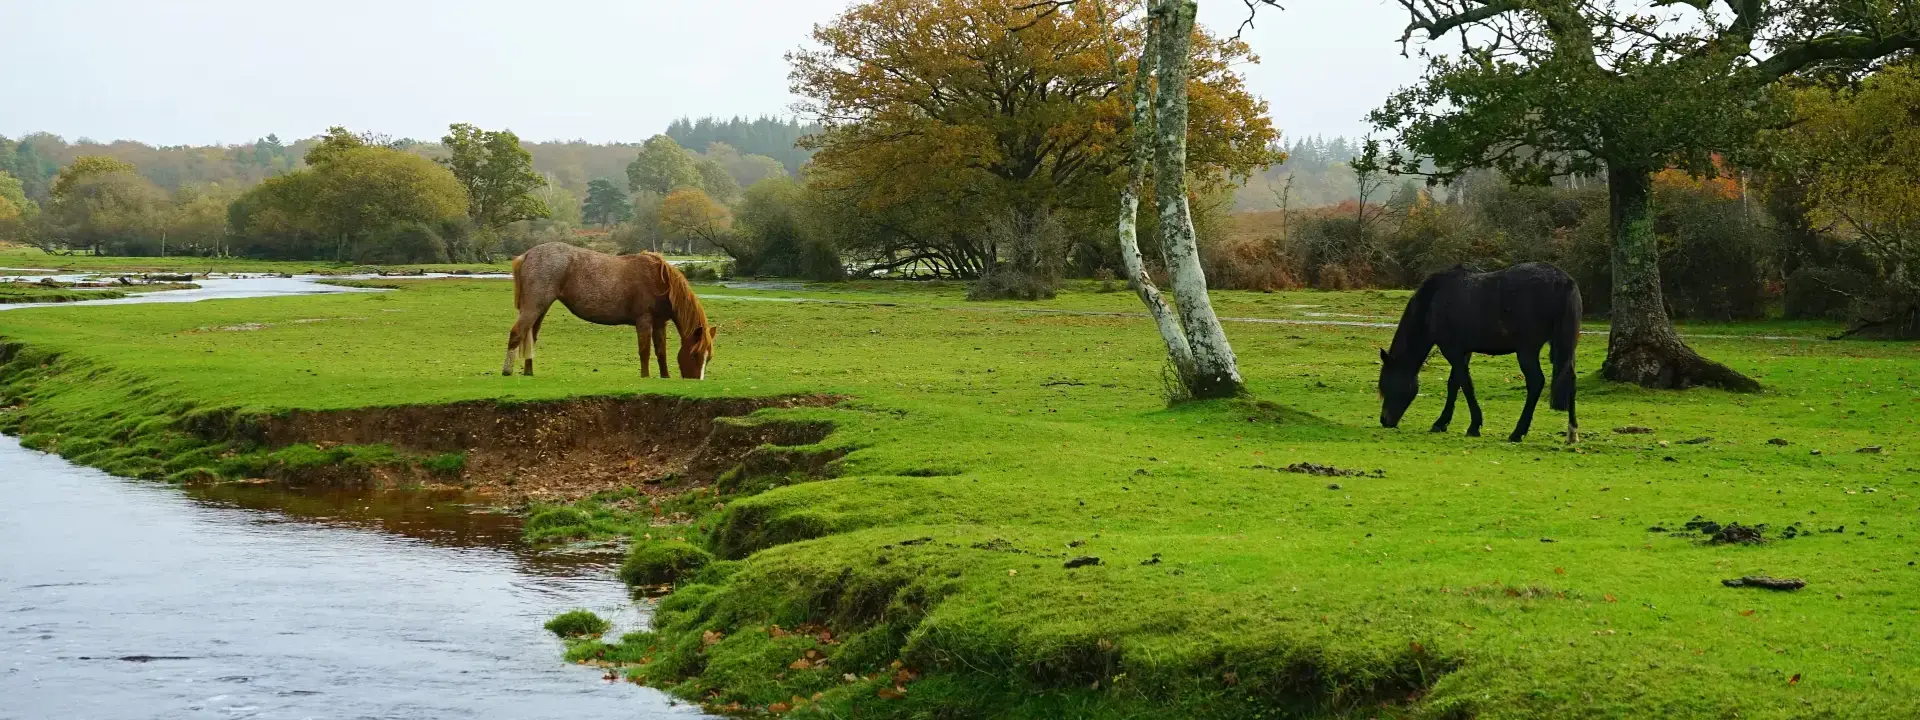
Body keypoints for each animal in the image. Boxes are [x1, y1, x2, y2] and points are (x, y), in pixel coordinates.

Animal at [506, 242, 718, 378]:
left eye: (708, 358)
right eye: (694, 355)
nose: (695, 380)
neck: (661, 282)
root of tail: (527, 255)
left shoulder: (659, 323)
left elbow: (661, 352)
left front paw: (664, 376)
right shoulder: (644, 321)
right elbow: (645, 350)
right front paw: (645, 376)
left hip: (540, 309)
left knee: (530, 337)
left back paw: (528, 372)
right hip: (534, 306)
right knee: (517, 333)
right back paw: (507, 371)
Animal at [1382, 264, 1589, 445]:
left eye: (1388, 384)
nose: (1384, 420)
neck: (1434, 302)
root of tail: (1564, 281)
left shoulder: (1452, 351)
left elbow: (1465, 385)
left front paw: (1473, 426)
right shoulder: (1463, 352)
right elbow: (1454, 384)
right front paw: (1442, 423)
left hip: (1527, 351)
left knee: (1536, 382)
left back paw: (1517, 432)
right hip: (1564, 347)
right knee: (1570, 379)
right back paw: (1572, 432)